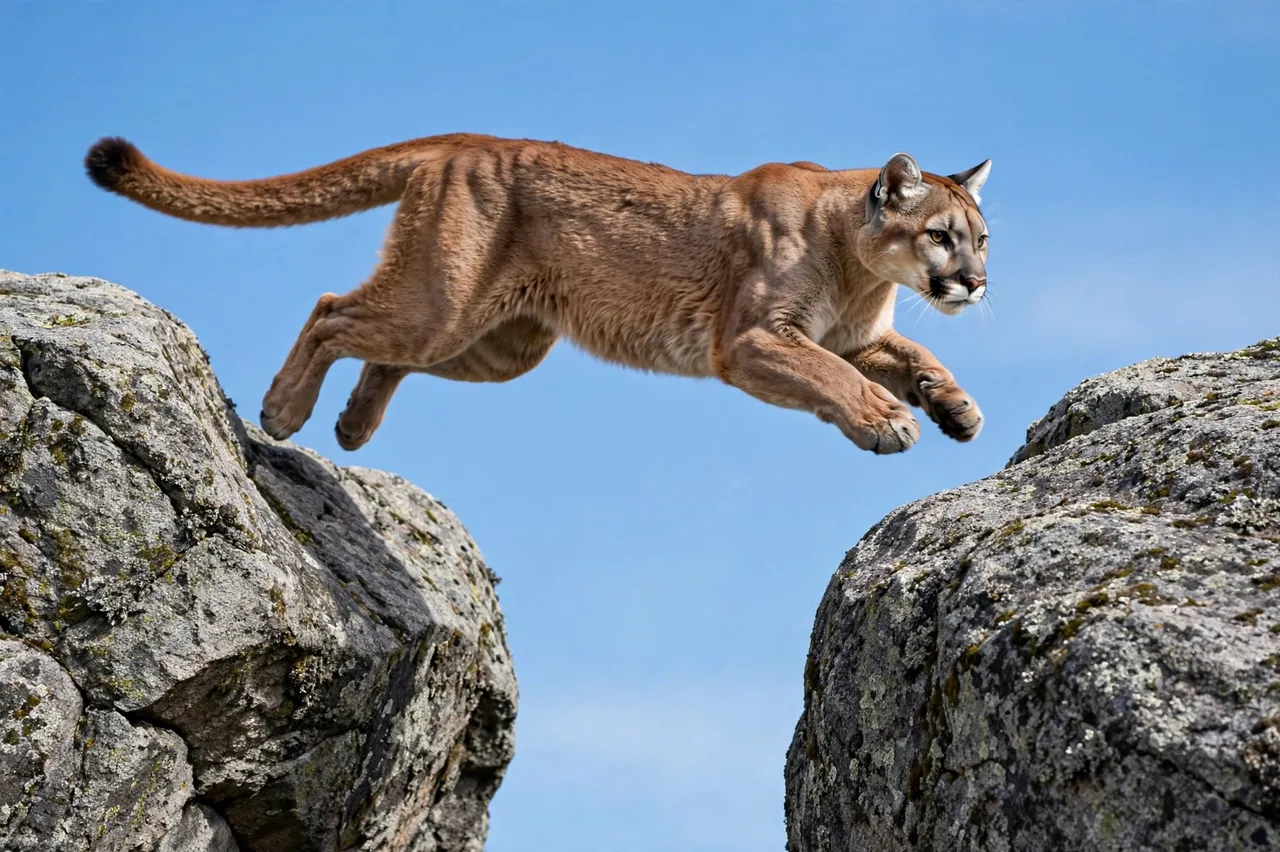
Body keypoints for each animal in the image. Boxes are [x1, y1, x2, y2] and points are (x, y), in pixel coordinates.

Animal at [84, 133, 990, 455]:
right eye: (941, 235)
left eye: (982, 239)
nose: (979, 284)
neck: (859, 264)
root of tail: (461, 142)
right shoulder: (754, 339)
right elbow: (834, 379)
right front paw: (888, 421)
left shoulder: (846, 335)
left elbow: (913, 348)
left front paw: (954, 406)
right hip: (440, 305)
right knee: (331, 311)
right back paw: (284, 412)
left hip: (497, 342)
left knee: (385, 354)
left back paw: (352, 424)